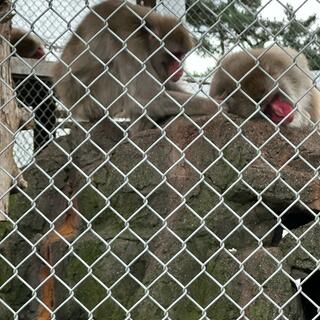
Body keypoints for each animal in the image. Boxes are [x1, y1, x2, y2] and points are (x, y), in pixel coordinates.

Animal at [53, 0, 216, 134]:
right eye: (175, 54)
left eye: (182, 55)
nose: (180, 69)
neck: (143, 31)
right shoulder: (128, 41)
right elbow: (144, 96)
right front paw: (215, 106)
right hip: (90, 103)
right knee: (113, 69)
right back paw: (139, 128)